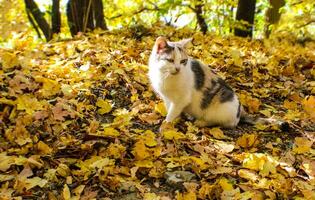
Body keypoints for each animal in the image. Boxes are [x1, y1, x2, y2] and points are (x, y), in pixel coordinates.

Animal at [149, 36, 290, 130]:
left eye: (183, 61)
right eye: (170, 60)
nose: (178, 69)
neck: (165, 76)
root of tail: (240, 110)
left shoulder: (182, 98)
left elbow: (172, 112)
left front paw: (166, 125)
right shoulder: (167, 98)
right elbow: (171, 109)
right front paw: (174, 120)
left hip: (222, 108)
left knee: (227, 124)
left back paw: (201, 122)